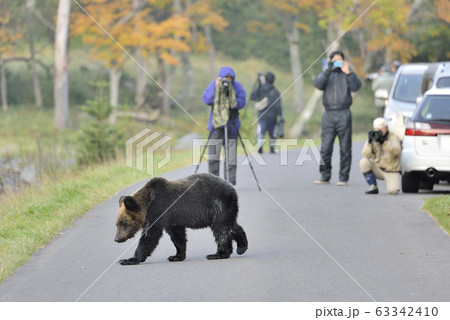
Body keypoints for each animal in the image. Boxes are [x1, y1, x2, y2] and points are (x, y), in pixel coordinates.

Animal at [114, 172, 248, 264]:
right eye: (117, 224)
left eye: (123, 223)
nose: (117, 239)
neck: (148, 202)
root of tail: (232, 188)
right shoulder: (172, 218)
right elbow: (177, 236)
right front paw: (176, 256)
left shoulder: (160, 209)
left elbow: (150, 235)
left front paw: (128, 259)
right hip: (225, 209)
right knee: (231, 226)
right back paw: (242, 247)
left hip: (219, 205)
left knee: (221, 229)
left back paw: (218, 253)